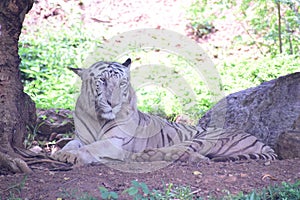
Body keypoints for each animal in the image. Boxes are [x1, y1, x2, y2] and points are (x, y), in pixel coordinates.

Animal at [51, 58, 276, 165]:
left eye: (122, 83)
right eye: (103, 81)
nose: (113, 103)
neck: (97, 117)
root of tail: (262, 142)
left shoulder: (114, 141)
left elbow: (93, 148)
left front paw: (71, 156)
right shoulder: (81, 137)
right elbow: (73, 143)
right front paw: (62, 152)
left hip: (205, 138)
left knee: (182, 151)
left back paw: (143, 156)